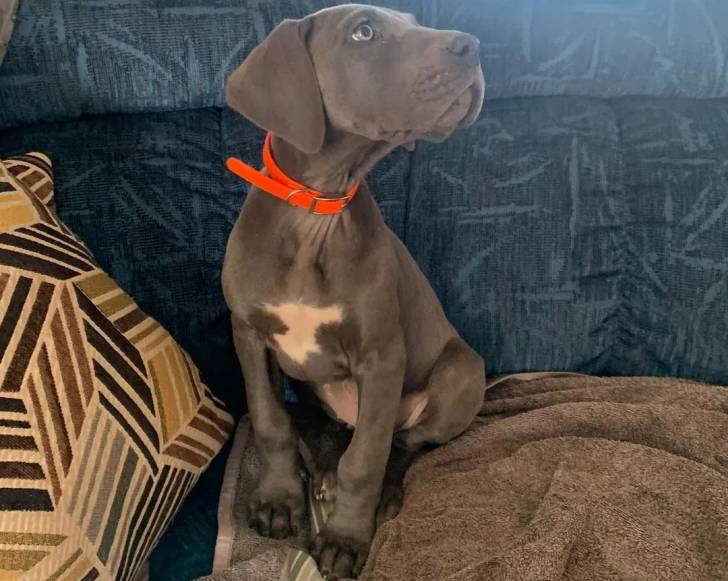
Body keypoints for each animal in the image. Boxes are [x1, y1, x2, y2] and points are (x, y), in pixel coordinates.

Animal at [222, 4, 486, 579]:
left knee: (398, 442)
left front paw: (345, 537)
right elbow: (270, 420)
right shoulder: (248, 336)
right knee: (330, 432)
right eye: (364, 32)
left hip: (461, 375)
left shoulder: (382, 357)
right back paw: (321, 469)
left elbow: (365, 461)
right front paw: (279, 500)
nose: (473, 46)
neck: (316, 212)